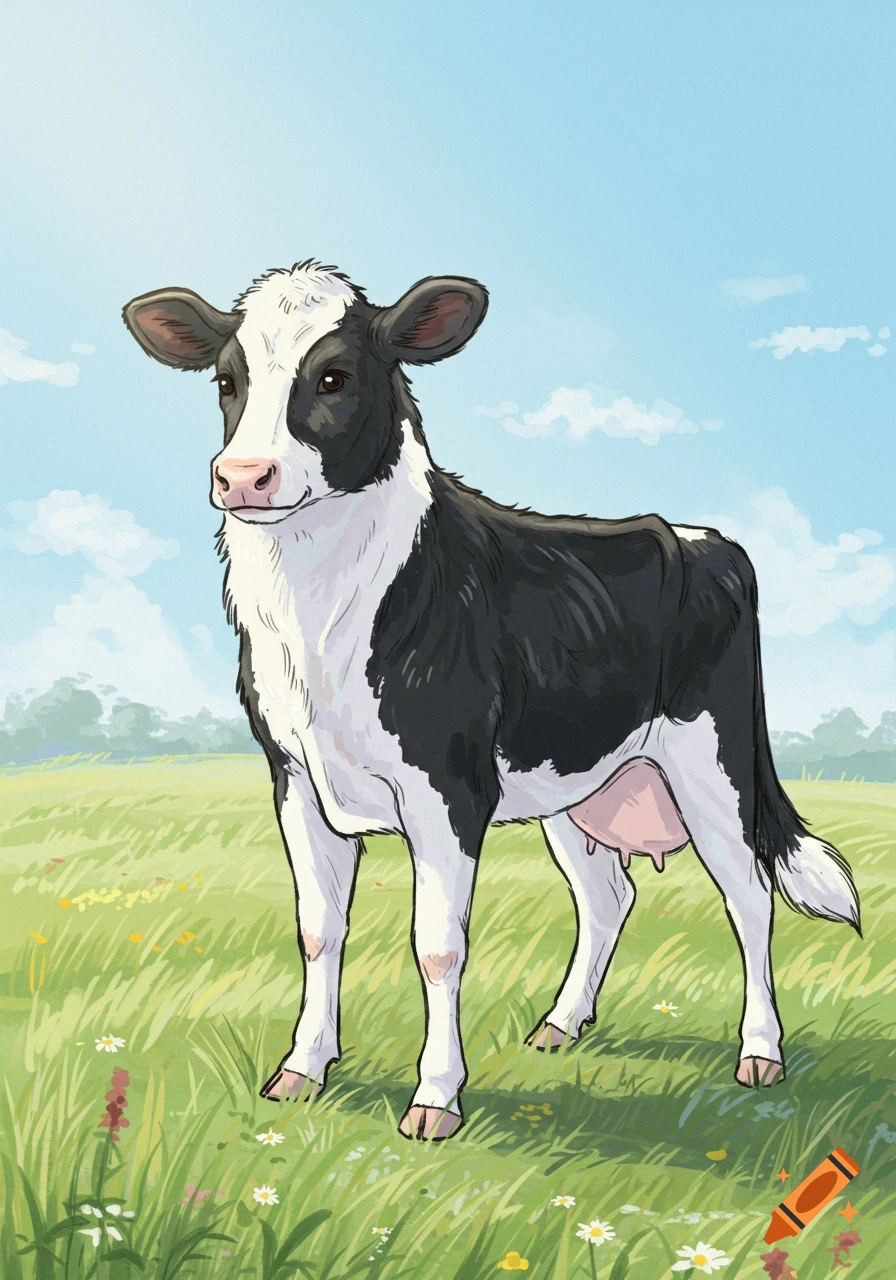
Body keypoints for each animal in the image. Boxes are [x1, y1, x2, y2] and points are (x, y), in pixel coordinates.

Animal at [123, 261, 860, 1141]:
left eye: (334, 376)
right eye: (227, 381)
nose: (242, 478)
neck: (320, 622)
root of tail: (701, 538)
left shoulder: (448, 786)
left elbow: (437, 945)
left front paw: (435, 1099)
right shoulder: (296, 778)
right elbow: (317, 929)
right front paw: (302, 1069)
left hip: (713, 761)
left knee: (748, 893)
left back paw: (760, 1053)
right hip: (579, 781)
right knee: (608, 896)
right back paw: (560, 1025)